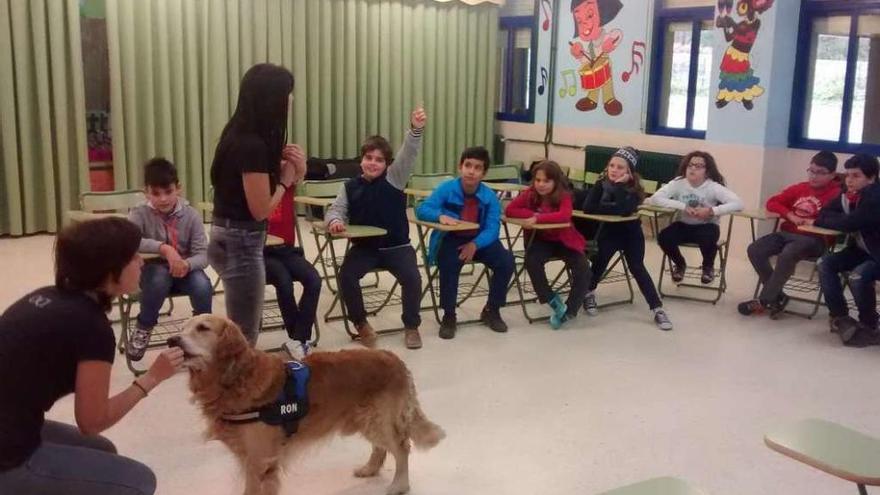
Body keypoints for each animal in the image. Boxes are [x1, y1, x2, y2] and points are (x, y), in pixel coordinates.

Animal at [170, 316, 446, 495]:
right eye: (182, 328)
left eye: (202, 328)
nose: (172, 340)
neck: (235, 378)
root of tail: (394, 358)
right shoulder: (251, 458)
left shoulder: (259, 459)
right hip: (366, 419)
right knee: (381, 447)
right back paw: (370, 469)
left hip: (379, 419)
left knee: (401, 448)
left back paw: (399, 485)